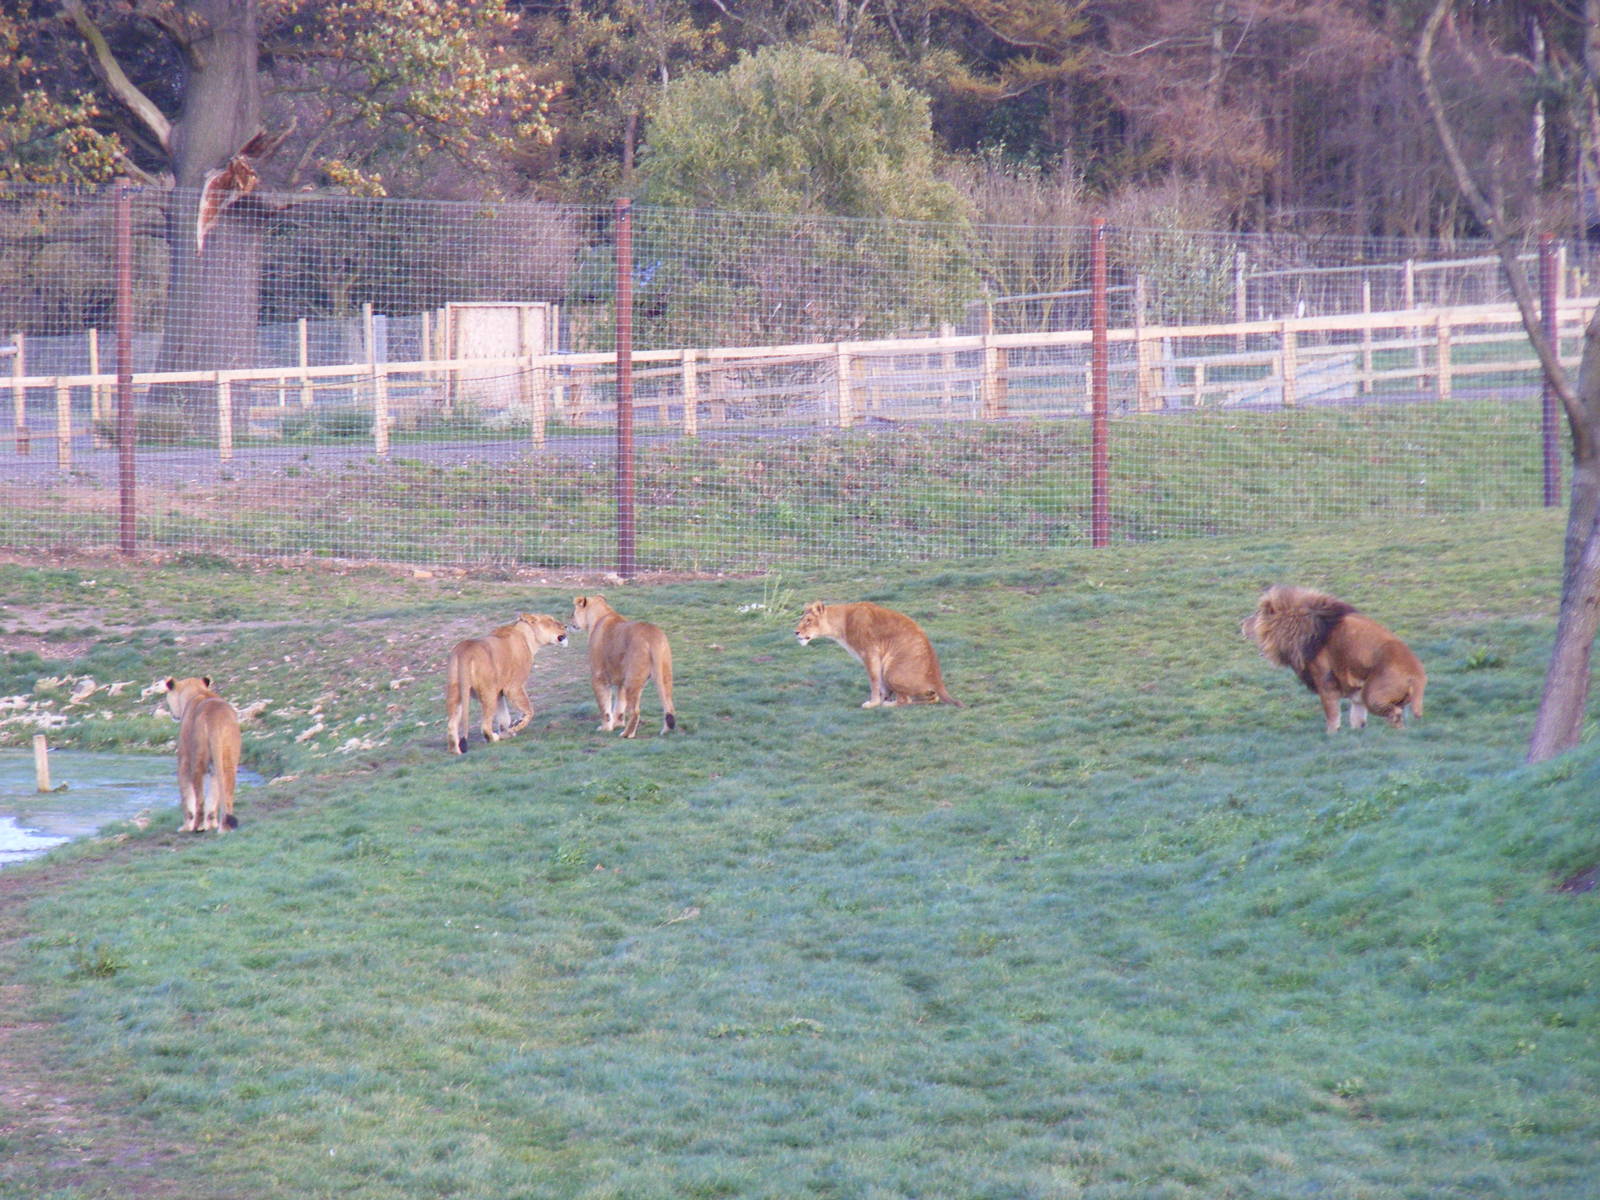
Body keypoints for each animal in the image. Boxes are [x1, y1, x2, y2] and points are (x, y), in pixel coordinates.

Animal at [163, 676, 242, 833]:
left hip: (198, 760)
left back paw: (197, 827)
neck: (197, 691)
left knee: (199, 799)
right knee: (226, 795)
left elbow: (187, 796)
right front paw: (211, 825)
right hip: (228, 760)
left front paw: (185, 827)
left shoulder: (184, 760)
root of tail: (216, 719)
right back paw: (224, 827)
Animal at [445, 613, 569, 754]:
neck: (527, 635)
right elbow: (529, 709)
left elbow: (504, 716)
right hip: (488, 692)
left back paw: (455, 751)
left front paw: (507, 733)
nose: (566, 626)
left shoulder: (500, 692)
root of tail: (465, 651)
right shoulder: (513, 687)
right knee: (485, 725)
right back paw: (493, 738)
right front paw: (517, 726)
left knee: (451, 725)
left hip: (456, 692)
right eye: (551, 620)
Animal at [567, 595, 676, 738]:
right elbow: (619, 705)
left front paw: (606, 728)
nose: (568, 624)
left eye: (572, 613)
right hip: (664, 675)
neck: (601, 615)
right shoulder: (621, 681)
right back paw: (666, 731)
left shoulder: (598, 677)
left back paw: (627, 734)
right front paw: (617, 724)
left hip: (633, 679)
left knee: (635, 711)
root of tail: (653, 637)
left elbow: (605, 707)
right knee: (669, 707)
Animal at [794, 601, 962, 708]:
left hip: (891, 670)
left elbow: (874, 679)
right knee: (932, 698)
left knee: (905, 700)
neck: (841, 623)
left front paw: (873, 703)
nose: (795, 632)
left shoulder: (870, 652)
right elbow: (880, 683)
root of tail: (936, 678)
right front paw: (882, 698)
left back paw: (889, 703)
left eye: (808, 620)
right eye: (801, 619)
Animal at [1242, 585, 1426, 734]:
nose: (1241, 623)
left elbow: (1331, 715)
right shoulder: (1355, 694)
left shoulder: (1324, 681)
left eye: (1257, 615)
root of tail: (1418, 676)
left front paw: (1331, 735)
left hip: (1372, 695)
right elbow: (1357, 719)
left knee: (1395, 714)